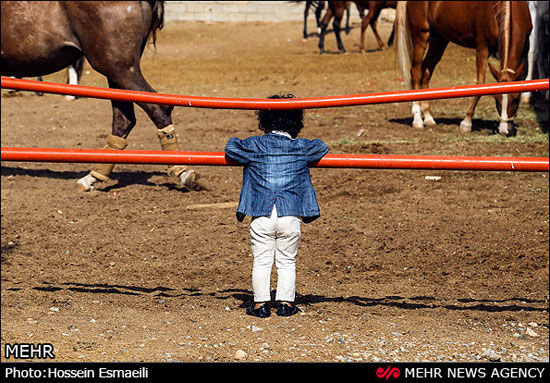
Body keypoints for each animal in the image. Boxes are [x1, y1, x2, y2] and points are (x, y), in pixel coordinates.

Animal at [1, 0, 199, 190]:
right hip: (118, 73)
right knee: (124, 120)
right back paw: (93, 177)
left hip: (118, 68)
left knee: (158, 108)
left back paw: (182, 171)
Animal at [396, 0, 536, 136]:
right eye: (496, 98)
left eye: (516, 99)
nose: (504, 130)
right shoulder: (482, 46)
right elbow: (480, 83)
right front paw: (466, 123)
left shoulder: (525, 48)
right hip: (421, 35)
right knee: (415, 72)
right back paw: (417, 120)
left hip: (439, 39)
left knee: (426, 71)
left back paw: (428, 117)